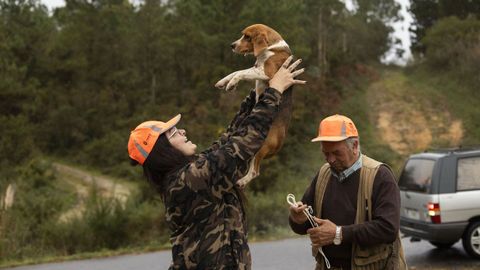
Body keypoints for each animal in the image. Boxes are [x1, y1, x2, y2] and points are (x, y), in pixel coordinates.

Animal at [217, 23, 292, 188]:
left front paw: (231, 82)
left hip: (261, 147)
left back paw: (242, 181)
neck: (272, 48)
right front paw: (225, 81)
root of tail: (281, 142)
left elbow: (242, 73)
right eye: (242, 35)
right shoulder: (256, 68)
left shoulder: (265, 71)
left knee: (254, 172)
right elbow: (238, 71)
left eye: (247, 37)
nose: (232, 45)